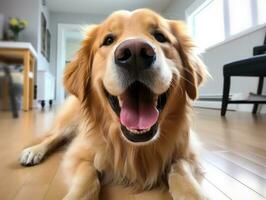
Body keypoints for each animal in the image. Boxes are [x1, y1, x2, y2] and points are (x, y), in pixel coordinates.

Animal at [20, 9, 208, 200]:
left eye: (160, 36)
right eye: (108, 40)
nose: (135, 53)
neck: (134, 148)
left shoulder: (187, 151)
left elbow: (180, 170)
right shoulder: (78, 153)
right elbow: (88, 177)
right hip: (70, 123)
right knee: (53, 137)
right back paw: (34, 151)